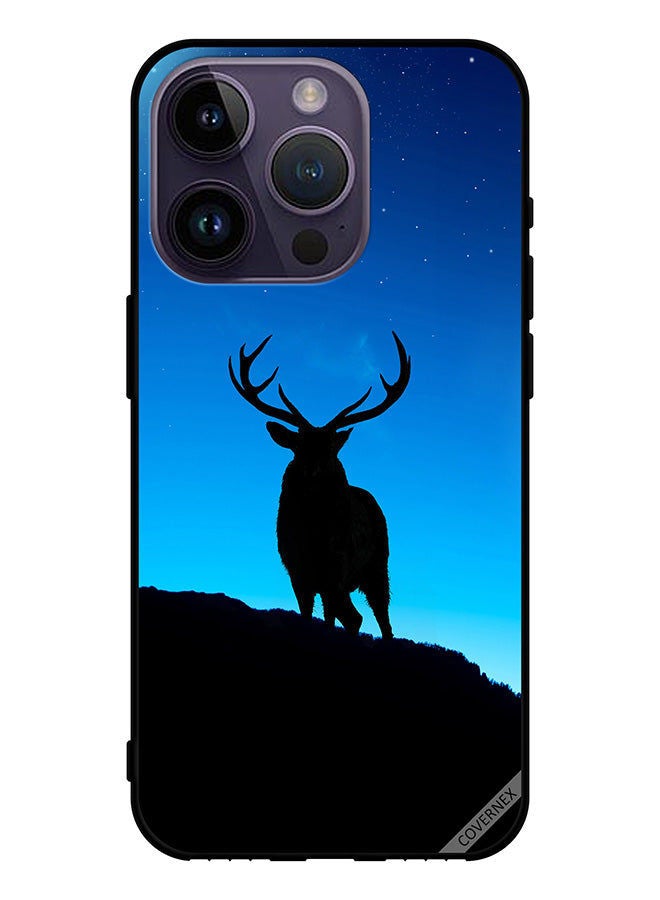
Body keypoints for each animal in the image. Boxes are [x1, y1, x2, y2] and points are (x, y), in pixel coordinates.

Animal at [228, 332, 411, 640]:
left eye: (329, 450)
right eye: (298, 447)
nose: (311, 471)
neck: (312, 534)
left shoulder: (335, 568)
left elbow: (347, 619)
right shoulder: (296, 570)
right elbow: (308, 615)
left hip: (378, 566)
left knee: (380, 618)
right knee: (341, 615)